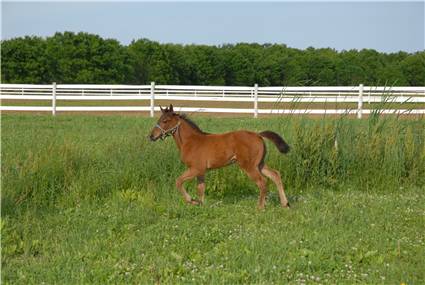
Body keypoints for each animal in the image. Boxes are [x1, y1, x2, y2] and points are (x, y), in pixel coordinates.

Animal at [147, 104, 290, 209]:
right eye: (158, 120)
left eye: (165, 121)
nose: (151, 136)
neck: (191, 141)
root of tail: (258, 135)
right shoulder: (201, 171)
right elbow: (201, 189)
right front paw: (200, 204)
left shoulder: (195, 169)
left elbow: (178, 181)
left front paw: (191, 200)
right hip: (259, 164)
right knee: (275, 175)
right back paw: (285, 204)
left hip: (248, 166)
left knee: (262, 182)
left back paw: (260, 207)